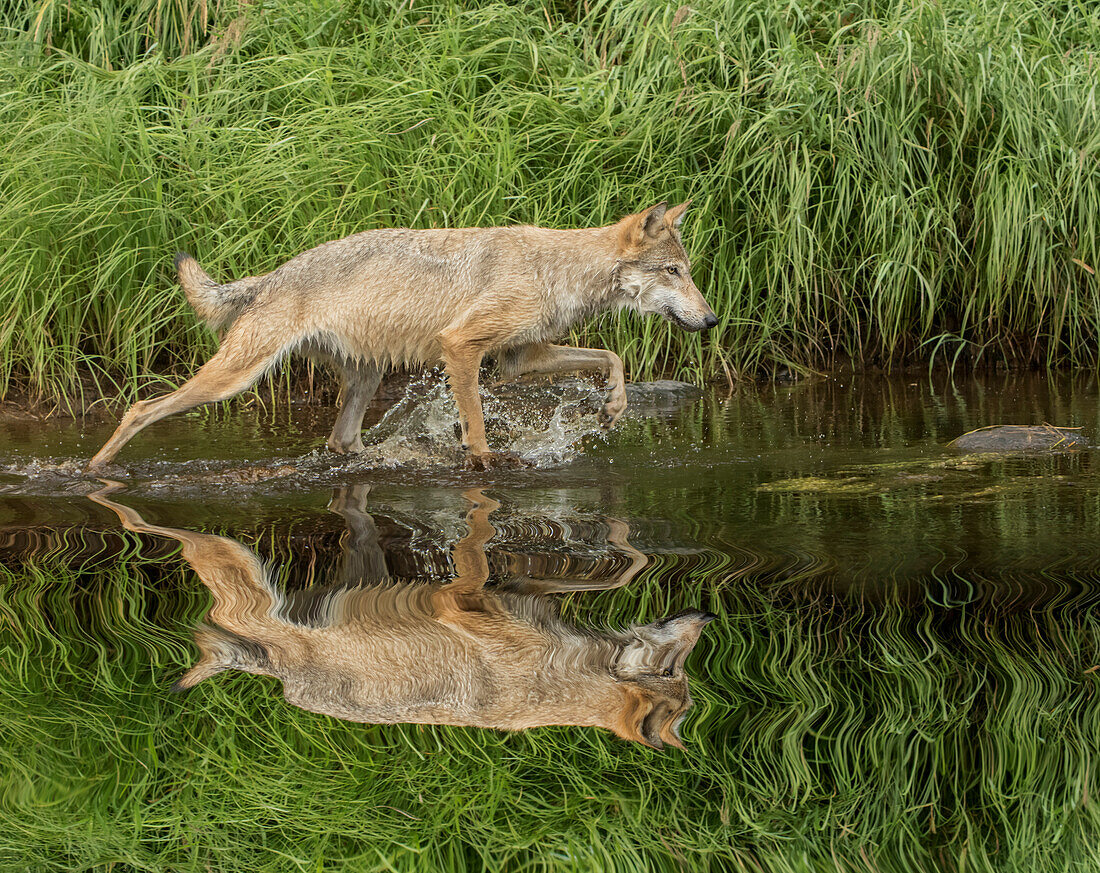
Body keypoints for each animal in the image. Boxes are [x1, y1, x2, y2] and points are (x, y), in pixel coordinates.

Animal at [90, 201, 717, 468]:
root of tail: (272, 275)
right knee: (139, 408)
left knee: (341, 443)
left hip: (364, 382)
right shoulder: (460, 347)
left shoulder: (520, 359)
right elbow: (478, 433)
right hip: (234, 379)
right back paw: (95, 476)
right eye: (675, 272)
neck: (556, 270)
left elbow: (610, 356)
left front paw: (614, 407)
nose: (711, 321)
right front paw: (485, 465)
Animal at [90, 483, 717, 747]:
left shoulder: (521, 595)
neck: (562, 677)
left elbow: (594, 571)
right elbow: (481, 539)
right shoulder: (462, 599)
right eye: (674, 669)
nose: (708, 617)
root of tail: (279, 675)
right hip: (242, 581)